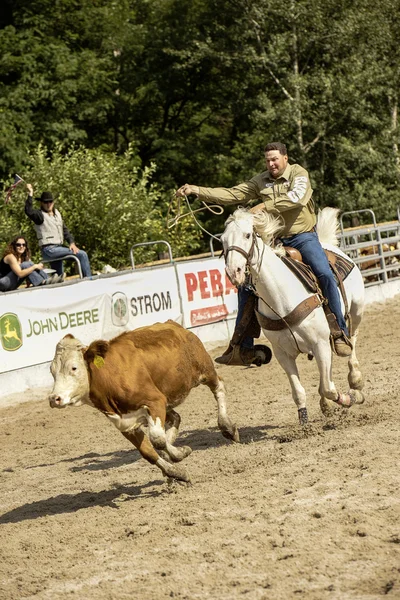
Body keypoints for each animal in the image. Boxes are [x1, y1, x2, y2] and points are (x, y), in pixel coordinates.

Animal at [48, 318, 239, 482]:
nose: (54, 399)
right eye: (52, 370)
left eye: (74, 368)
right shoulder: (125, 424)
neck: (110, 376)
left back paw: (227, 427)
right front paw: (176, 471)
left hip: (205, 370)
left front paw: (180, 453)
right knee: (175, 417)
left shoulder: (155, 401)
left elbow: (157, 439)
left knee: (219, 388)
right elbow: (148, 452)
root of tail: (175, 325)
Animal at [222, 206, 366, 422]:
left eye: (247, 235)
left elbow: (329, 387)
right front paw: (305, 420)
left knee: (353, 341)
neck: (280, 297)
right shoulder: (283, 353)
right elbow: (299, 391)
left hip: (356, 312)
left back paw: (355, 382)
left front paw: (348, 399)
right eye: (222, 240)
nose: (234, 272)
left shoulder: (320, 344)